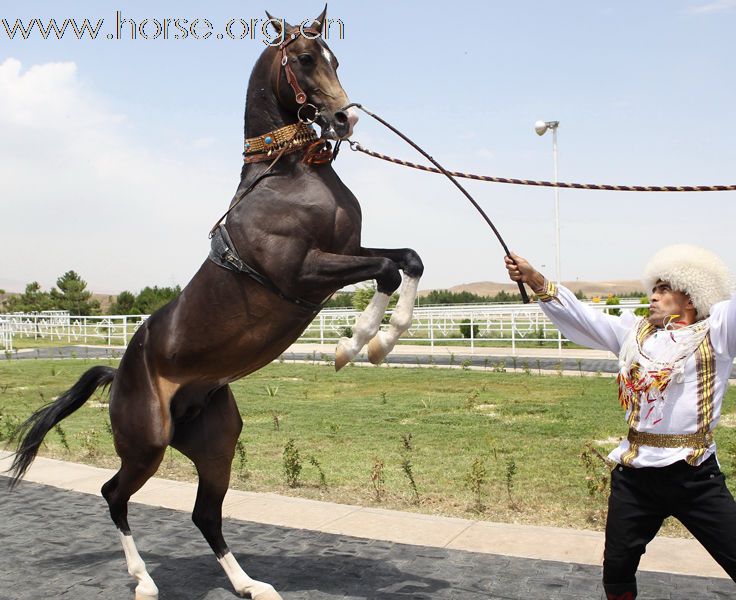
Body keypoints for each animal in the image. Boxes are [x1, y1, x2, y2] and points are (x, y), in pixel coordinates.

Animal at [5, 9, 422, 600]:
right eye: (304, 59)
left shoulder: (345, 252)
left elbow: (408, 259)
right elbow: (388, 268)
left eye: (337, 59)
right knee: (114, 494)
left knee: (205, 514)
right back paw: (143, 581)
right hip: (147, 443)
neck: (288, 174)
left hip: (216, 443)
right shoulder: (303, 271)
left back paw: (250, 584)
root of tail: (119, 370)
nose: (346, 118)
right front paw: (357, 343)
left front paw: (385, 338)